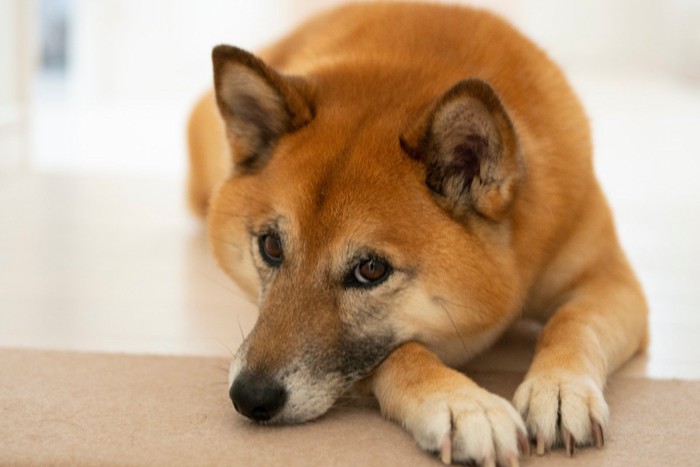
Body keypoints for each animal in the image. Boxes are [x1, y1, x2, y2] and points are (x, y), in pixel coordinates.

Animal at [187, 1, 652, 466]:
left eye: (371, 270)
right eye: (270, 246)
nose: (249, 397)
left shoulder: (613, 283)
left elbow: (575, 321)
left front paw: (557, 388)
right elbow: (402, 352)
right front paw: (462, 405)